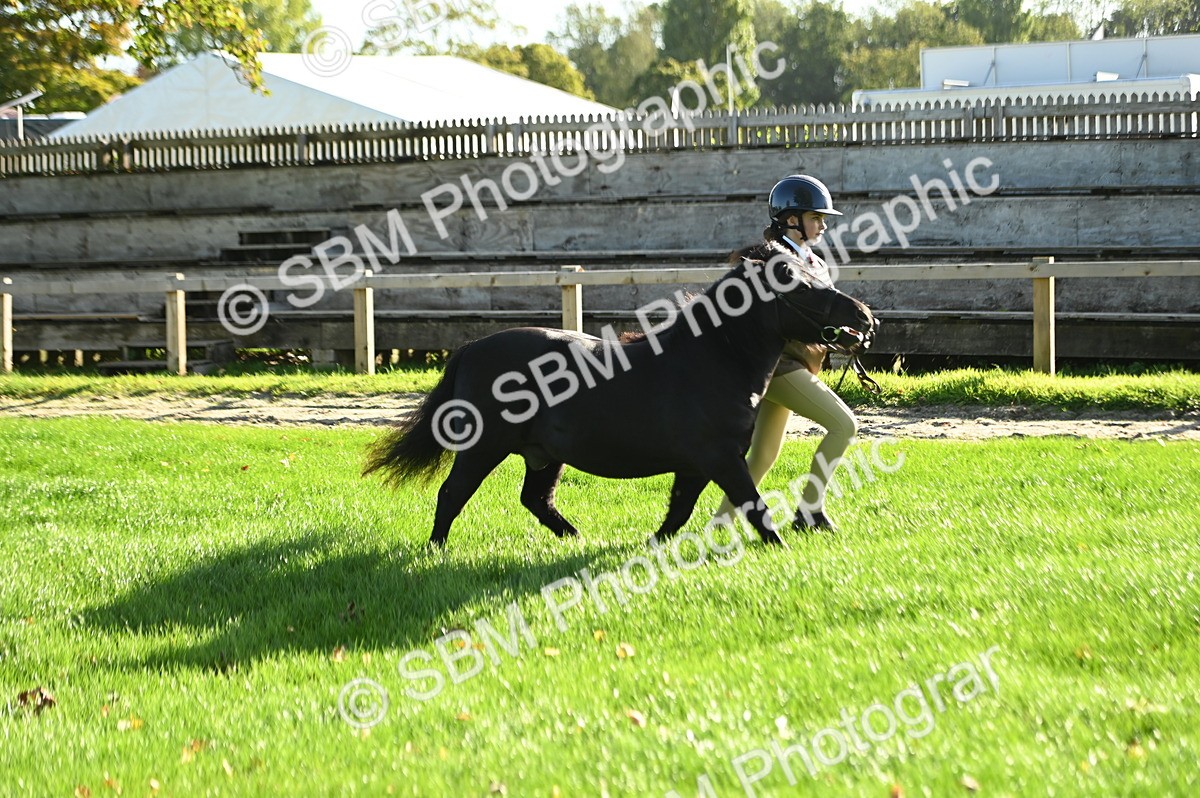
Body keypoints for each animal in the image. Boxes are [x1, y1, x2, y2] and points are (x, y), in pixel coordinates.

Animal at [364, 255, 877, 547]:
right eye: (804, 286)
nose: (864, 316)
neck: (712, 359)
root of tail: (470, 348)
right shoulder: (719, 458)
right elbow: (752, 503)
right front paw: (778, 546)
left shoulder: (696, 465)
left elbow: (679, 512)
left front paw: (654, 547)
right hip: (484, 447)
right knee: (452, 494)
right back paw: (436, 549)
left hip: (543, 454)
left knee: (535, 499)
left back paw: (575, 537)